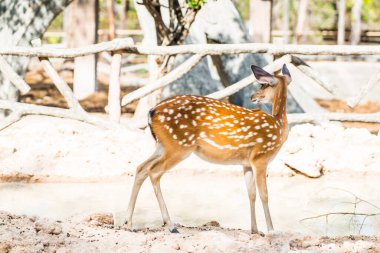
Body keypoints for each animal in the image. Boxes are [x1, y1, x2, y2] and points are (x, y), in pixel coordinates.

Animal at [126, 63, 292, 233]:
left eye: (263, 85)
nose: (253, 96)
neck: (279, 125)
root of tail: (151, 112)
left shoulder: (246, 162)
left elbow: (251, 193)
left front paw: (255, 230)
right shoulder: (261, 156)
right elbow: (264, 194)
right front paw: (271, 230)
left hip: (162, 145)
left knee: (141, 168)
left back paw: (129, 223)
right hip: (179, 146)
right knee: (154, 171)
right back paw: (170, 225)